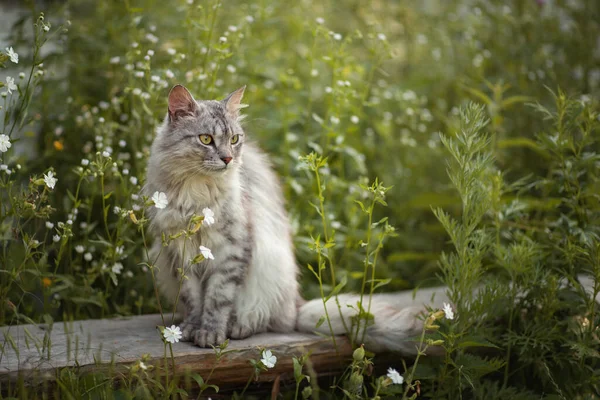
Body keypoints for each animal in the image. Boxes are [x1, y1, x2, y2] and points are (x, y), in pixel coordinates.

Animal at [144, 84, 446, 354]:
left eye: (234, 140)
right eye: (206, 139)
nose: (228, 159)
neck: (198, 191)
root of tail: (296, 305)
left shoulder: (232, 248)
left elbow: (218, 299)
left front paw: (210, 333)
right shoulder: (179, 252)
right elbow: (193, 299)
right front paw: (191, 329)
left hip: (270, 265)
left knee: (267, 318)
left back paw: (238, 326)